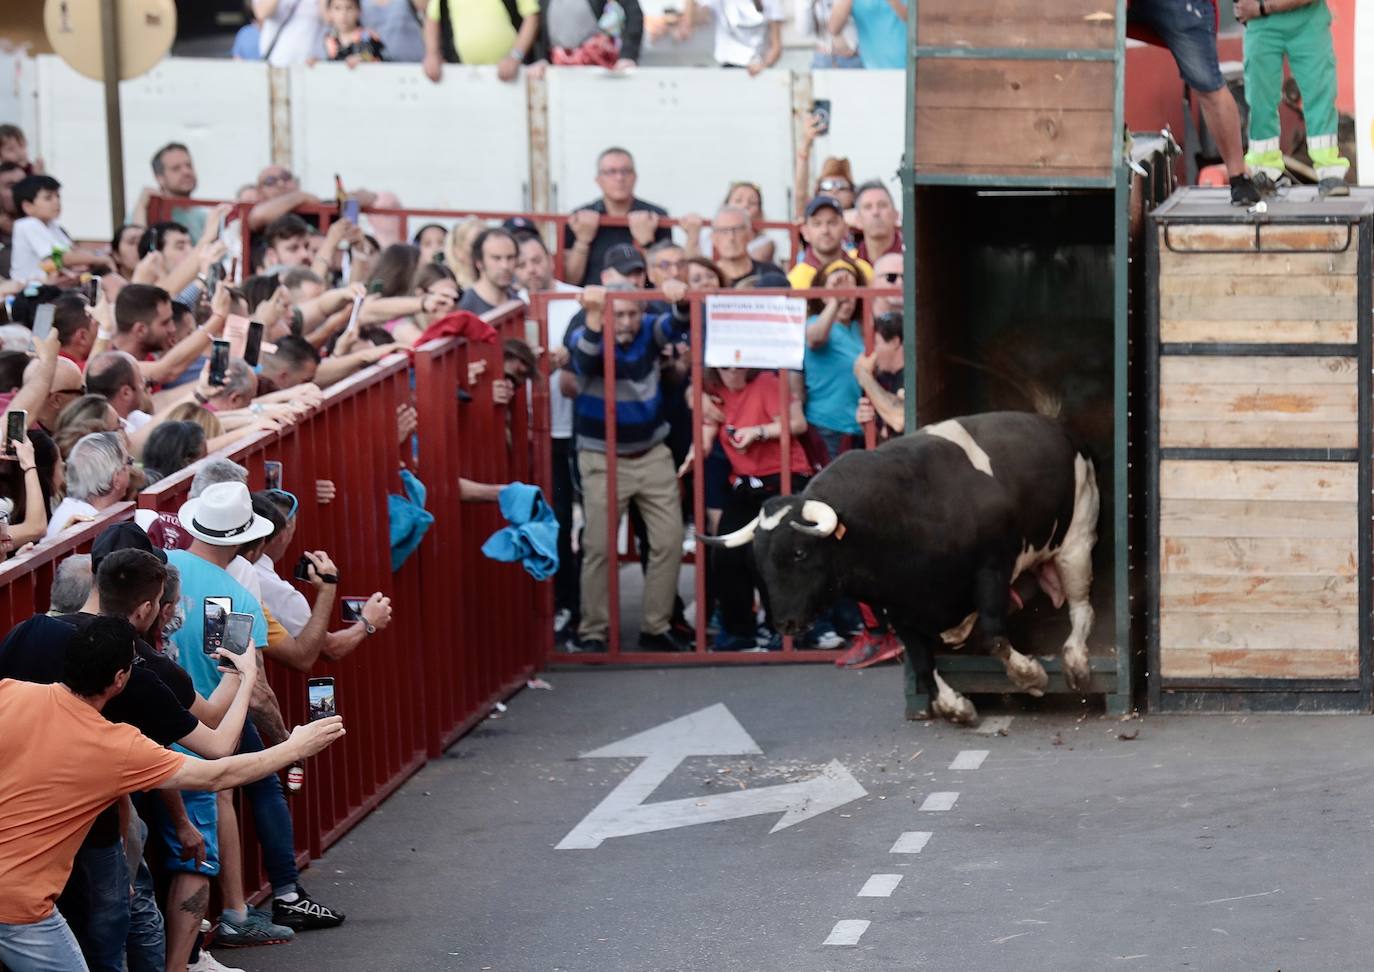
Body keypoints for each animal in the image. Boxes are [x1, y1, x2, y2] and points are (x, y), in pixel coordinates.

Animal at [703, 412, 1099, 731]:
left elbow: (994, 637)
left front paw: (1031, 677)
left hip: (1076, 543)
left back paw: (1076, 661)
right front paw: (954, 707)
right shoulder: (897, 606)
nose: (785, 623)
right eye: (759, 561)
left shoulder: (992, 568)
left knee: (1082, 608)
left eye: (800, 553)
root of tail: (1057, 428)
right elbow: (922, 660)